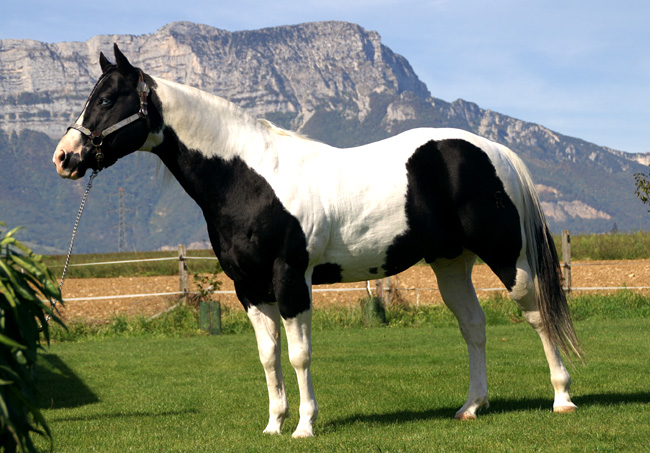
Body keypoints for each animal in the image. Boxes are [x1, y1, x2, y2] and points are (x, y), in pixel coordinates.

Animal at [53, 46, 580, 438]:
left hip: (507, 257)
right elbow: (268, 356)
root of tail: (494, 150)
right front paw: (273, 424)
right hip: (451, 263)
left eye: (108, 99)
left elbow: (299, 353)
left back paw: (562, 398)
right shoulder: (249, 289)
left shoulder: (291, 278)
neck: (250, 178)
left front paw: (304, 426)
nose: (65, 157)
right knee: (473, 326)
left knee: (537, 314)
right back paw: (471, 406)